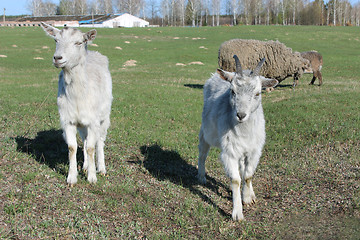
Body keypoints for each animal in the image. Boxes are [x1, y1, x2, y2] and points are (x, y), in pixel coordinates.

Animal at [40, 22, 112, 186]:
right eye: (56, 40)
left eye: (79, 42)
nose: (57, 58)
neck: (77, 96)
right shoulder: (68, 120)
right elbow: (72, 147)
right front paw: (72, 178)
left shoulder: (93, 121)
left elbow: (92, 147)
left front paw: (92, 178)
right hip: (81, 124)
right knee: (84, 140)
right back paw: (85, 166)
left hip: (104, 117)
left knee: (100, 141)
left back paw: (101, 168)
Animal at [197, 55, 278, 220]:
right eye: (232, 91)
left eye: (258, 93)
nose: (241, 115)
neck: (244, 130)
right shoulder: (229, 152)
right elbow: (235, 180)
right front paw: (237, 213)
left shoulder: (254, 151)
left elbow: (248, 175)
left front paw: (247, 197)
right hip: (205, 132)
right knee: (202, 154)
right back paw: (201, 177)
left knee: (242, 168)